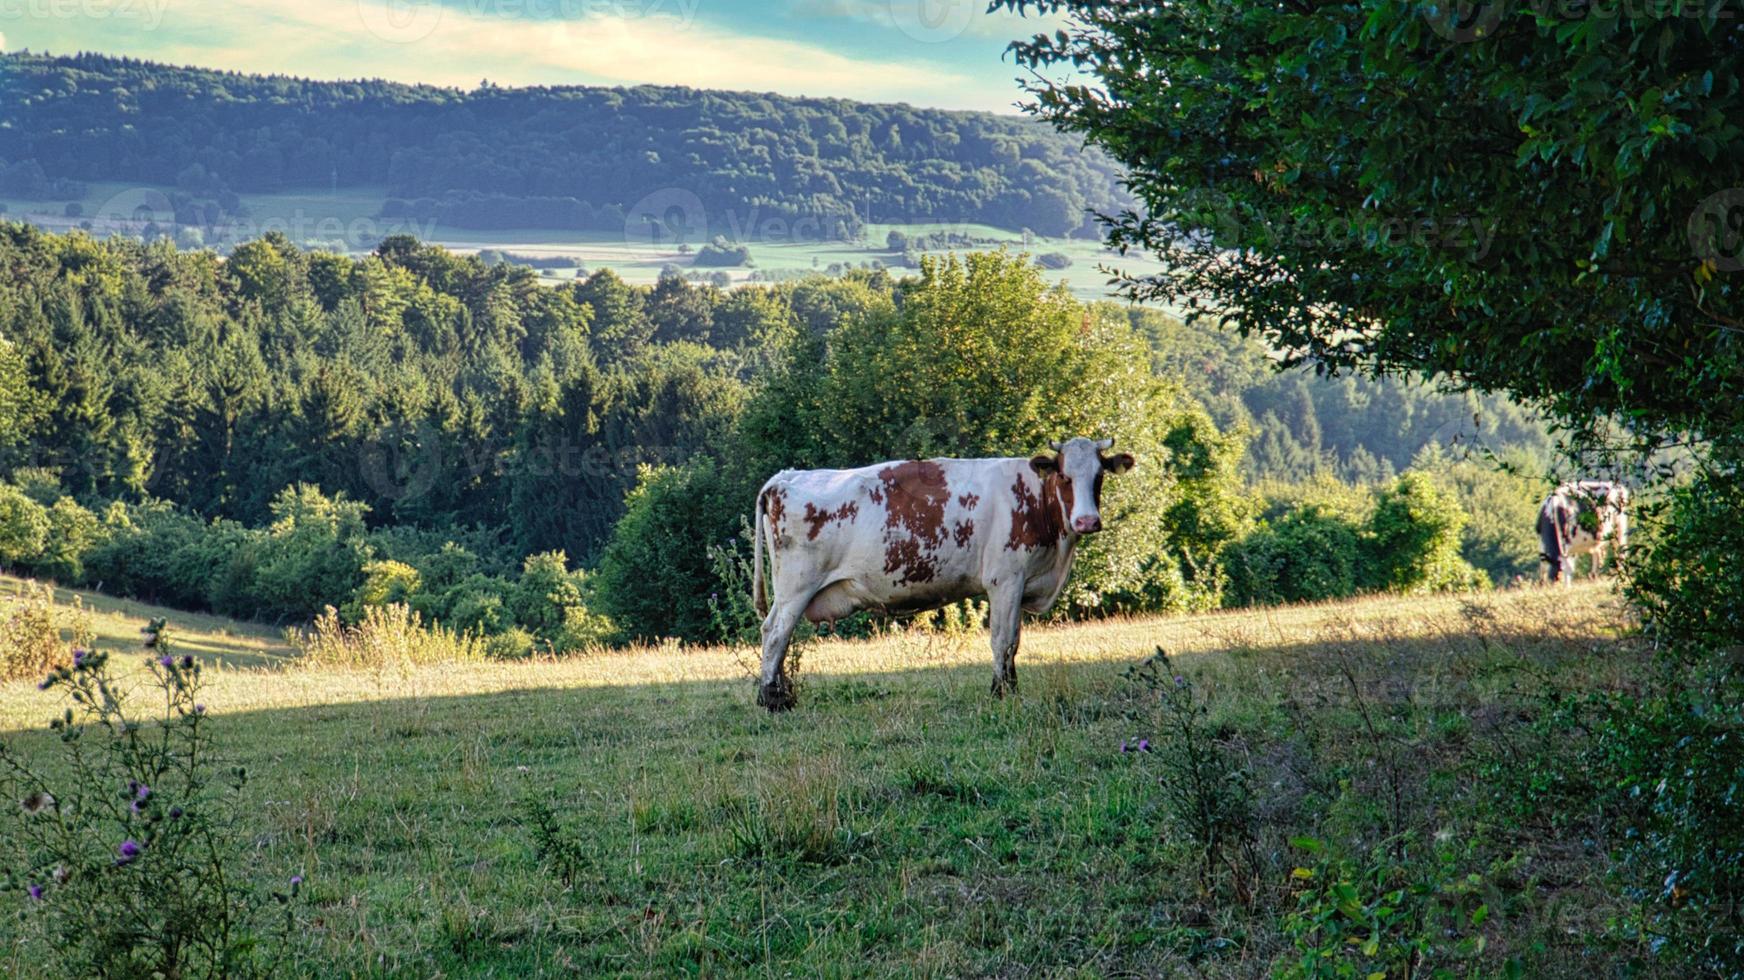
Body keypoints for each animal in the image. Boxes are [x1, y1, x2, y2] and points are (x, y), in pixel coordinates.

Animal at [746, 434, 1130, 707]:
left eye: (1098, 476)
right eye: (1064, 476)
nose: (1087, 521)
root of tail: (786, 477)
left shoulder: (1020, 584)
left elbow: (1015, 642)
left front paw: (1012, 688)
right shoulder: (1005, 580)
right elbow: (1002, 640)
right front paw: (999, 692)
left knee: (779, 636)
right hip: (795, 587)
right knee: (775, 634)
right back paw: (772, 699)